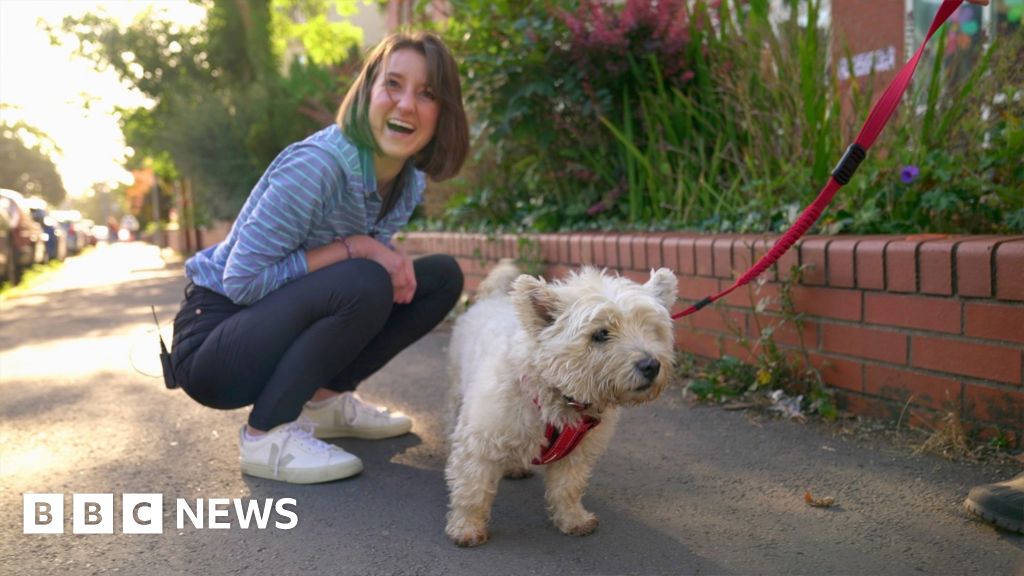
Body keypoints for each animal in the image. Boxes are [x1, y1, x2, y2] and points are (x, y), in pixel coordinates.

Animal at [444, 258, 675, 545]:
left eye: (652, 329)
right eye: (601, 334)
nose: (651, 365)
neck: (555, 394)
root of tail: (495, 296)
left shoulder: (577, 453)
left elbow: (568, 488)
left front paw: (573, 519)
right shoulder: (480, 442)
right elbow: (472, 489)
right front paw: (467, 527)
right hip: (457, 388)